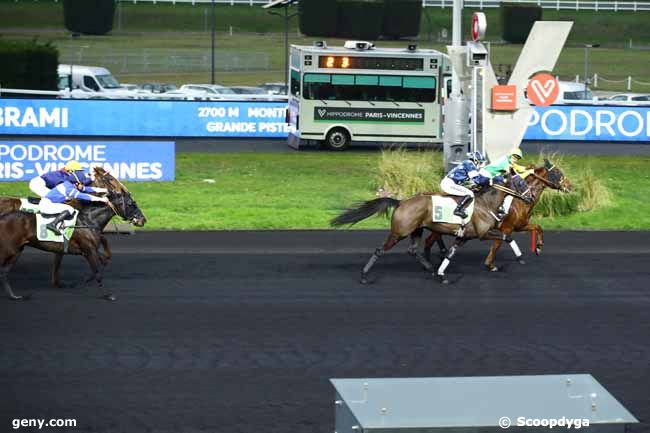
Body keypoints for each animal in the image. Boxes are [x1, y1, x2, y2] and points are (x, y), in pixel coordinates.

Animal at [0, 166, 146, 300]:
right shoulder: (85, 248)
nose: (143, 220)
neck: (87, 217)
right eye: (110, 179)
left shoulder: (88, 248)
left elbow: (103, 256)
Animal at [332, 174, 528, 286]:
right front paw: (520, 258)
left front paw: (441, 274)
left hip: (417, 230)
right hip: (399, 232)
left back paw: (431, 268)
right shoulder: (483, 233)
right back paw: (364, 276)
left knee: (412, 250)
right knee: (380, 250)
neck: (486, 203)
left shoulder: (463, 237)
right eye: (520, 182)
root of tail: (401, 202)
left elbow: (450, 254)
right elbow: (507, 237)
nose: (530, 197)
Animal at [422, 160, 568, 272]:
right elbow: (497, 244)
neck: (519, 201)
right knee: (429, 241)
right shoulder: (505, 228)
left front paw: (538, 248)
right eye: (557, 172)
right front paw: (490, 265)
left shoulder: (520, 226)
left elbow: (538, 228)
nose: (569, 185)